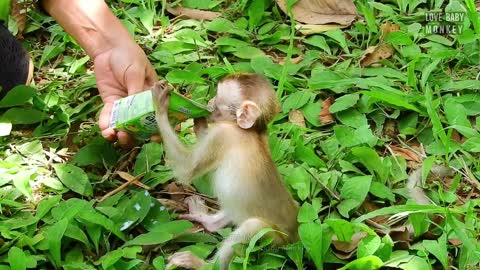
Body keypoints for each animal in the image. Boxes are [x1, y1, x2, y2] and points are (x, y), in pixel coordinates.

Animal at [154, 73, 298, 268]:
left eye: (218, 99)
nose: (210, 100)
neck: (251, 131)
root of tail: (296, 234)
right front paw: (199, 120)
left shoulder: (222, 135)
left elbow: (187, 169)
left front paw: (161, 104)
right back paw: (208, 221)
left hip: (275, 240)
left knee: (253, 226)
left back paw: (203, 266)